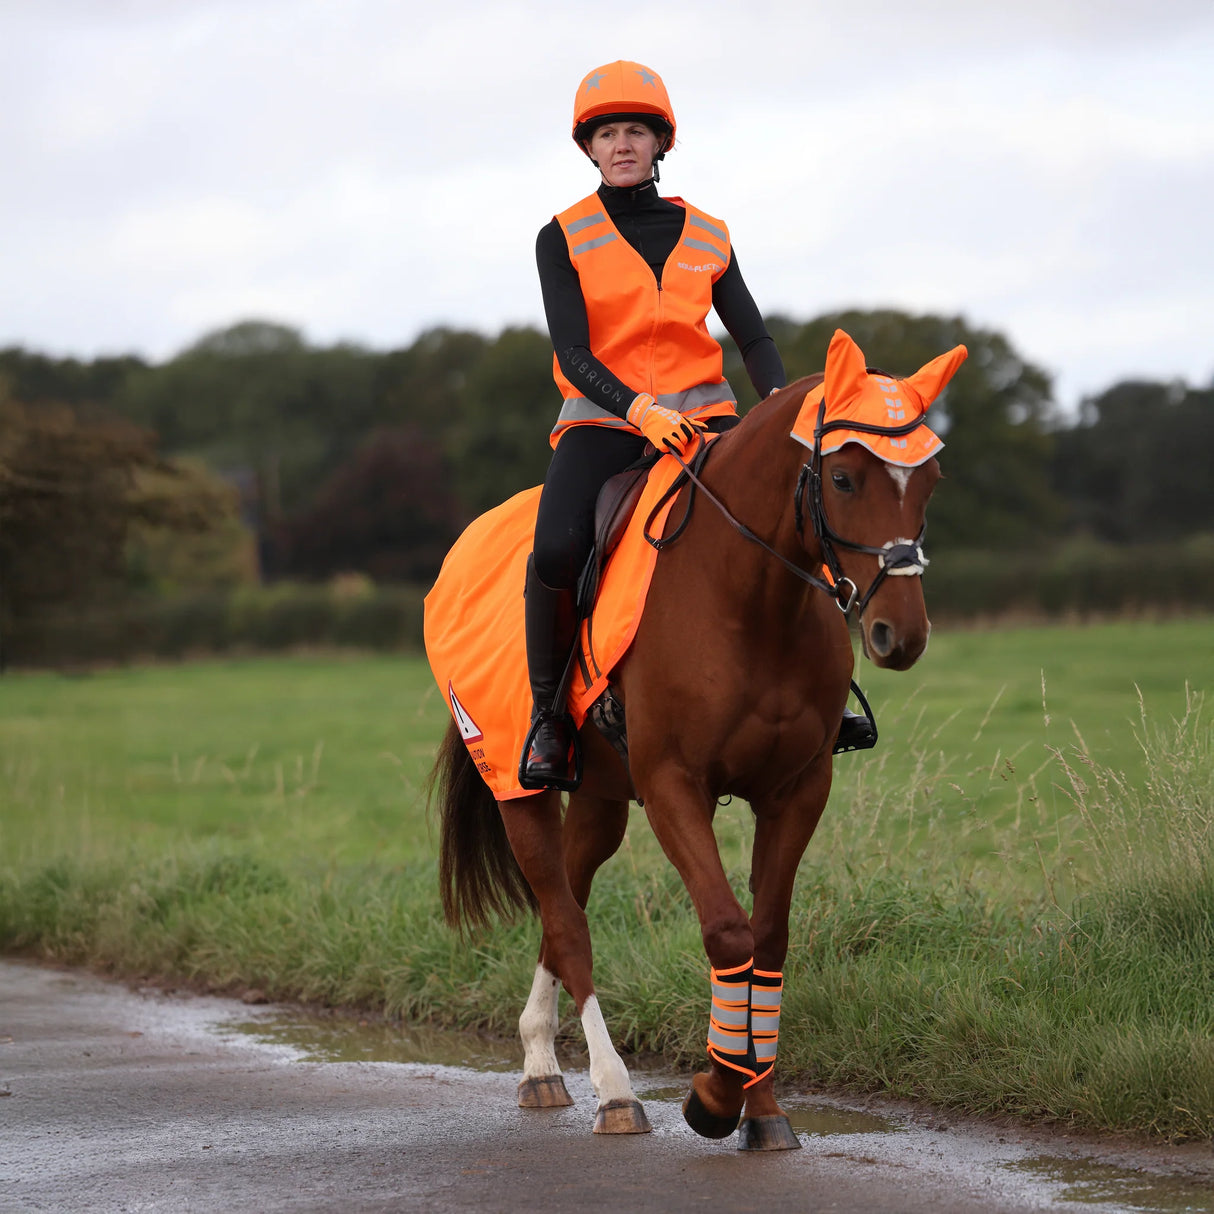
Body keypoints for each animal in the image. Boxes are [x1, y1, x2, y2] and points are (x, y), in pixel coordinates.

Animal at [432, 330, 961, 1146]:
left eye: (928, 479)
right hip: (521, 790)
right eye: (843, 477)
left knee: (565, 907)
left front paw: (763, 1110)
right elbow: (728, 932)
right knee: (567, 921)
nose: (897, 635)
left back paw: (540, 1062)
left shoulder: (797, 790)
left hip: (600, 800)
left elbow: (768, 937)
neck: (749, 598)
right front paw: (714, 1095)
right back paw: (613, 1091)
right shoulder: (675, 785)